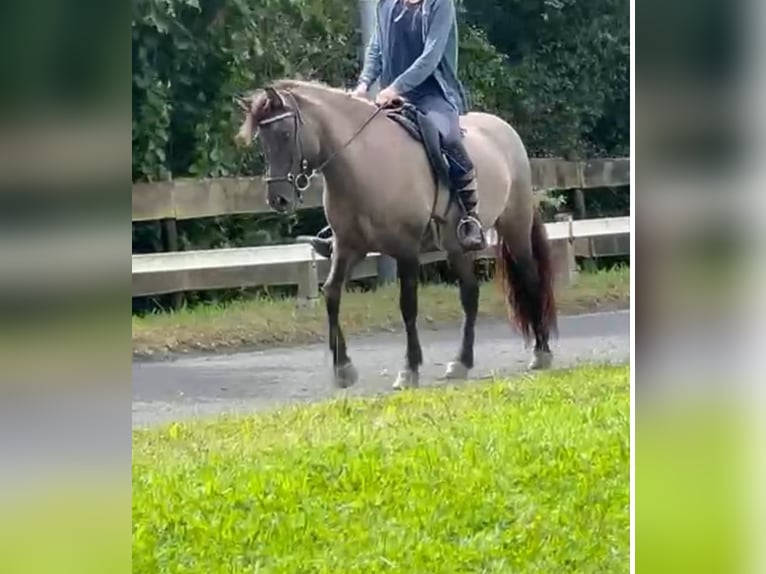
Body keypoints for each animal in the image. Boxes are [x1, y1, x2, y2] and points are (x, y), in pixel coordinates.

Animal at [234, 79, 560, 392]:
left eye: (285, 133)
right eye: (262, 139)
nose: (278, 199)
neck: (364, 163)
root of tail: (505, 130)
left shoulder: (406, 249)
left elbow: (408, 306)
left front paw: (409, 370)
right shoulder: (348, 247)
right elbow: (332, 294)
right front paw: (343, 369)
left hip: (515, 227)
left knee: (530, 279)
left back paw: (541, 353)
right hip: (456, 246)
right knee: (470, 295)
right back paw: (461, 363)